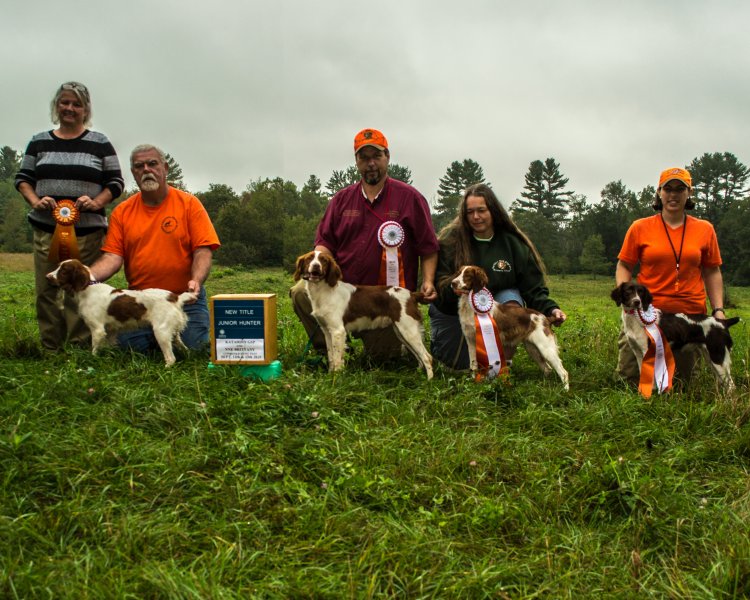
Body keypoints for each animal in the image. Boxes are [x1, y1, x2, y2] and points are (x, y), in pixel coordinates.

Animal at [47, 258, 198, 366]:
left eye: (64, 270)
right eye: (58, 267)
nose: (47, 276)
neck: (87, 290)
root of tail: (176, 297)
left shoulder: (97, 329)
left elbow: (94, 350)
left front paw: (92, 360)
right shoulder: (111, 330)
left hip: (161, 331)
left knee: (171, 358)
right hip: (173, 332)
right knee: (184, 348)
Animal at [294, 251, 434, 378]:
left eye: (323, 260)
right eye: (309, 258)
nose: (316, 266)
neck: (324, 291)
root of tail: (412, 294)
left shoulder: (338, 331)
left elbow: (338, 358)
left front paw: (336, 378)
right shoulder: (327, 331)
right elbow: (331, 357)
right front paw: (330, 375)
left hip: (408, 330)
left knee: (427, 357)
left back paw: (429, 381)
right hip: (401, 332)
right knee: (419, 356)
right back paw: (418, 373)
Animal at [612, 280, 744, 392]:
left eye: (641, 292)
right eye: (628, 291)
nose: (637, 302)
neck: (636, 319)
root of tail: (723, 322)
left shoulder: (647, 351)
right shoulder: (637, 351)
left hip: (718, 356)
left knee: (731, 386)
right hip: (711, 357)